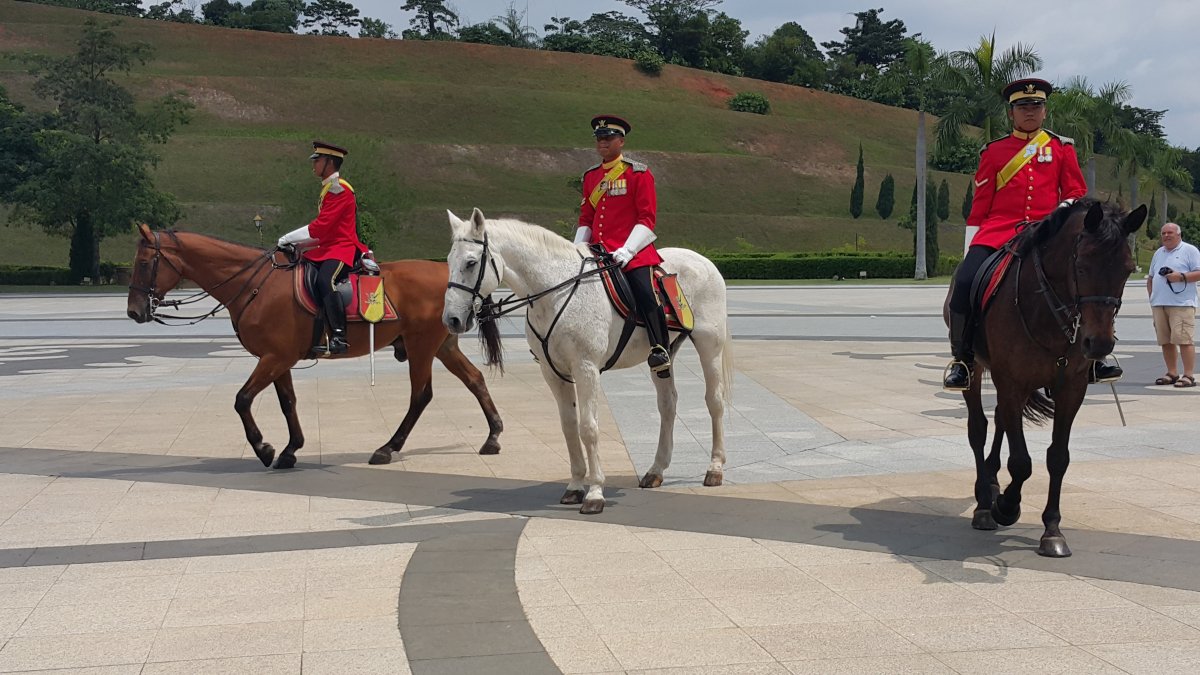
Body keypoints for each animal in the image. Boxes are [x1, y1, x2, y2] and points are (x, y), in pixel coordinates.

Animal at [129, 223, 504, 466]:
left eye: (144, 263)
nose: (134, 311)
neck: (256, 283)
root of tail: (447, 274)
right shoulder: (278, 359)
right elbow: (287, 403)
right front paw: (290, 449)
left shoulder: (274, 357)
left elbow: (242, 399)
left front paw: (264, 448)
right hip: (443, 345)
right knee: (474, 380)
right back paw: (493, 435)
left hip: (421, 346)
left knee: (420, 395)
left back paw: (388, 447)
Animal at [446, 207, 734, 511]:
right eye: (448, 261)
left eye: (470, 262)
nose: (451, 319)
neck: (553, 293)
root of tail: (703, 260)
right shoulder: (552, 372)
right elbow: (569, 427)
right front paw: (575, 485)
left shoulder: (585, 367)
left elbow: (588, 428)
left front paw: (595, 491)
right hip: (663, 354)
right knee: (667, 404)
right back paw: (656, 470)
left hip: (709, 346)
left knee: (714, 401)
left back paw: (715, 468)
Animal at [950, 199, 1147, 557]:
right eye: (1081, 266)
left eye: (1127, 269)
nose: (1099, 344)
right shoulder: (1010, 380)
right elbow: (1021, 462)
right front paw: (1006, 506)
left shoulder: (1071, 387)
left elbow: (1058, 457)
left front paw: (1052, 529)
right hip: (977, 371)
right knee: (978, 428)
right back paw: (984, 503)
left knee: (1000, 419)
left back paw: (992, 482)